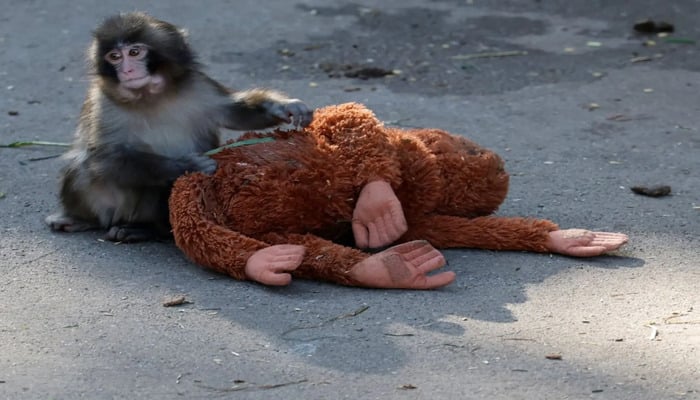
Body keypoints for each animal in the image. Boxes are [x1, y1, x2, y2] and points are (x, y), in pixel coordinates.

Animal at [45, 12, 313, 242]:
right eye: (114, 57)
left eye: (134, 52)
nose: (128, 70)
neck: (150, 96)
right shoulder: (103, 103)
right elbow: (104, 157)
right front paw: (189, 165)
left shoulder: (198, 85)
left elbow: (234, 113)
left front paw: (283, 106)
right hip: (112, 207)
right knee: (82, 168)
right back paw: (85, 220)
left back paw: (146, 230)